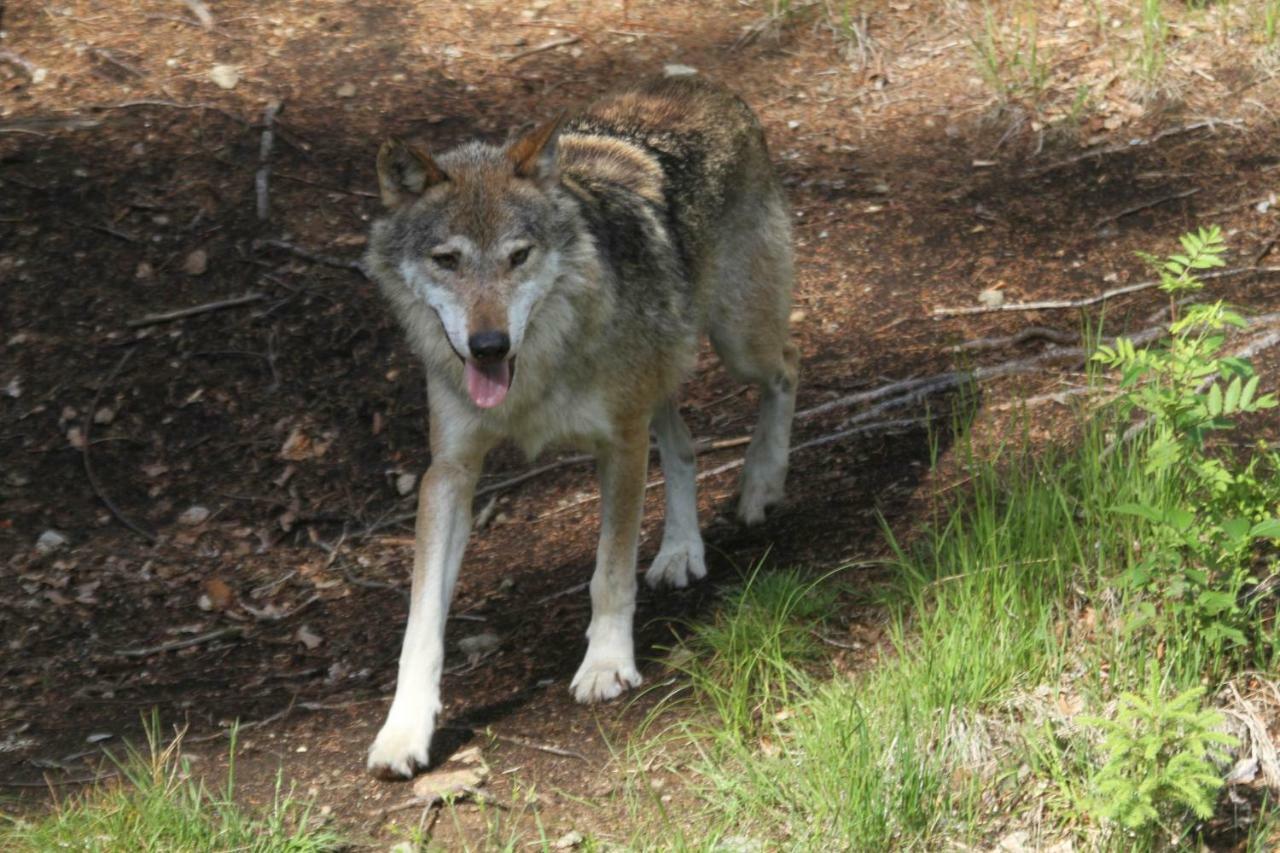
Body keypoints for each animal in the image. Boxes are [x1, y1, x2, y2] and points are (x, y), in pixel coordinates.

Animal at [366, 73, 793, 778]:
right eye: (446, 260)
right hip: (658, 380)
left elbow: (608, 574)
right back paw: (681, 551)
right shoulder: (449, 474)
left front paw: (607, 665)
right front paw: (403, 731)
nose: (488, 346)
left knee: (788, 370)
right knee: (683, 446)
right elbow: (421, 623)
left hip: (738, 343)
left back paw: (761, 485)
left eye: (518, 256)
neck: (537, 365)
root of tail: (697, 81)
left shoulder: (617, 445)